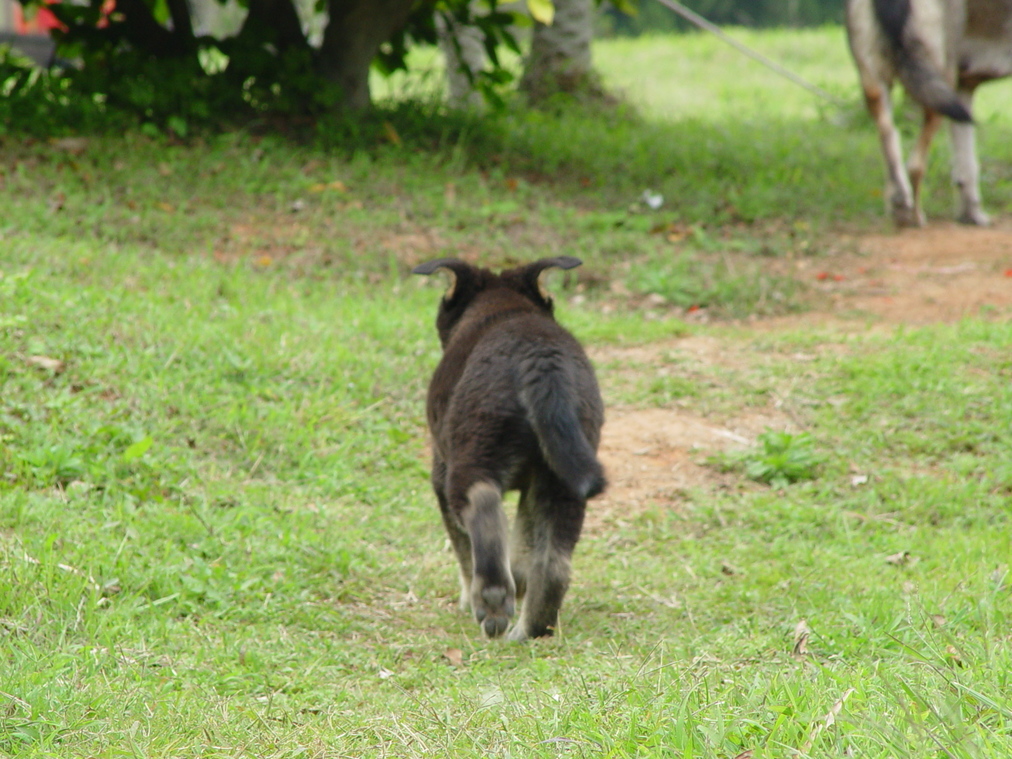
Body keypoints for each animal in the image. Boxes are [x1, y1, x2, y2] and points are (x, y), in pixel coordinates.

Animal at [413, 256, 606, 641]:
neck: (500, 306)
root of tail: (540, 359)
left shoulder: (440, 470)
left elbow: (465, 550)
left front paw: (469, 597)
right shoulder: (534, 485)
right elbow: (522, 541)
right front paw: (519, 579)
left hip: (471, 459)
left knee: (482, 509)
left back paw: (492, 604)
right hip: (563, 478)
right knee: (554, 564)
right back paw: (530, 631)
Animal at [846, 0, 1012, 226]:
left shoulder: (964, 90)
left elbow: (967, 167)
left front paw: (971, 215)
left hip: (879, 86)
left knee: (889, 137)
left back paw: (899, 204)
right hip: (938, 86)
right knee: (915, 165)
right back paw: (915, 217)